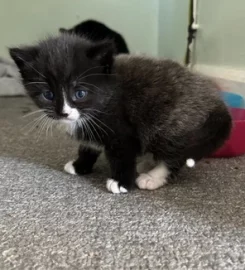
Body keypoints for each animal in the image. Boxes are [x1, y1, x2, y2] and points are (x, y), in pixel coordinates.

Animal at [9, 34, 232, 194]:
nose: (63, 112)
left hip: (171, 121)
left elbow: (123, 154)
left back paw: (153, 176)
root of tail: (218, 104)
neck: (107, 95)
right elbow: (88, 146)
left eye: (80, 93)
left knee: (175, 154)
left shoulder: (121, 128)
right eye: (48, 95)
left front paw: (122, 182)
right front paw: (80, 165)